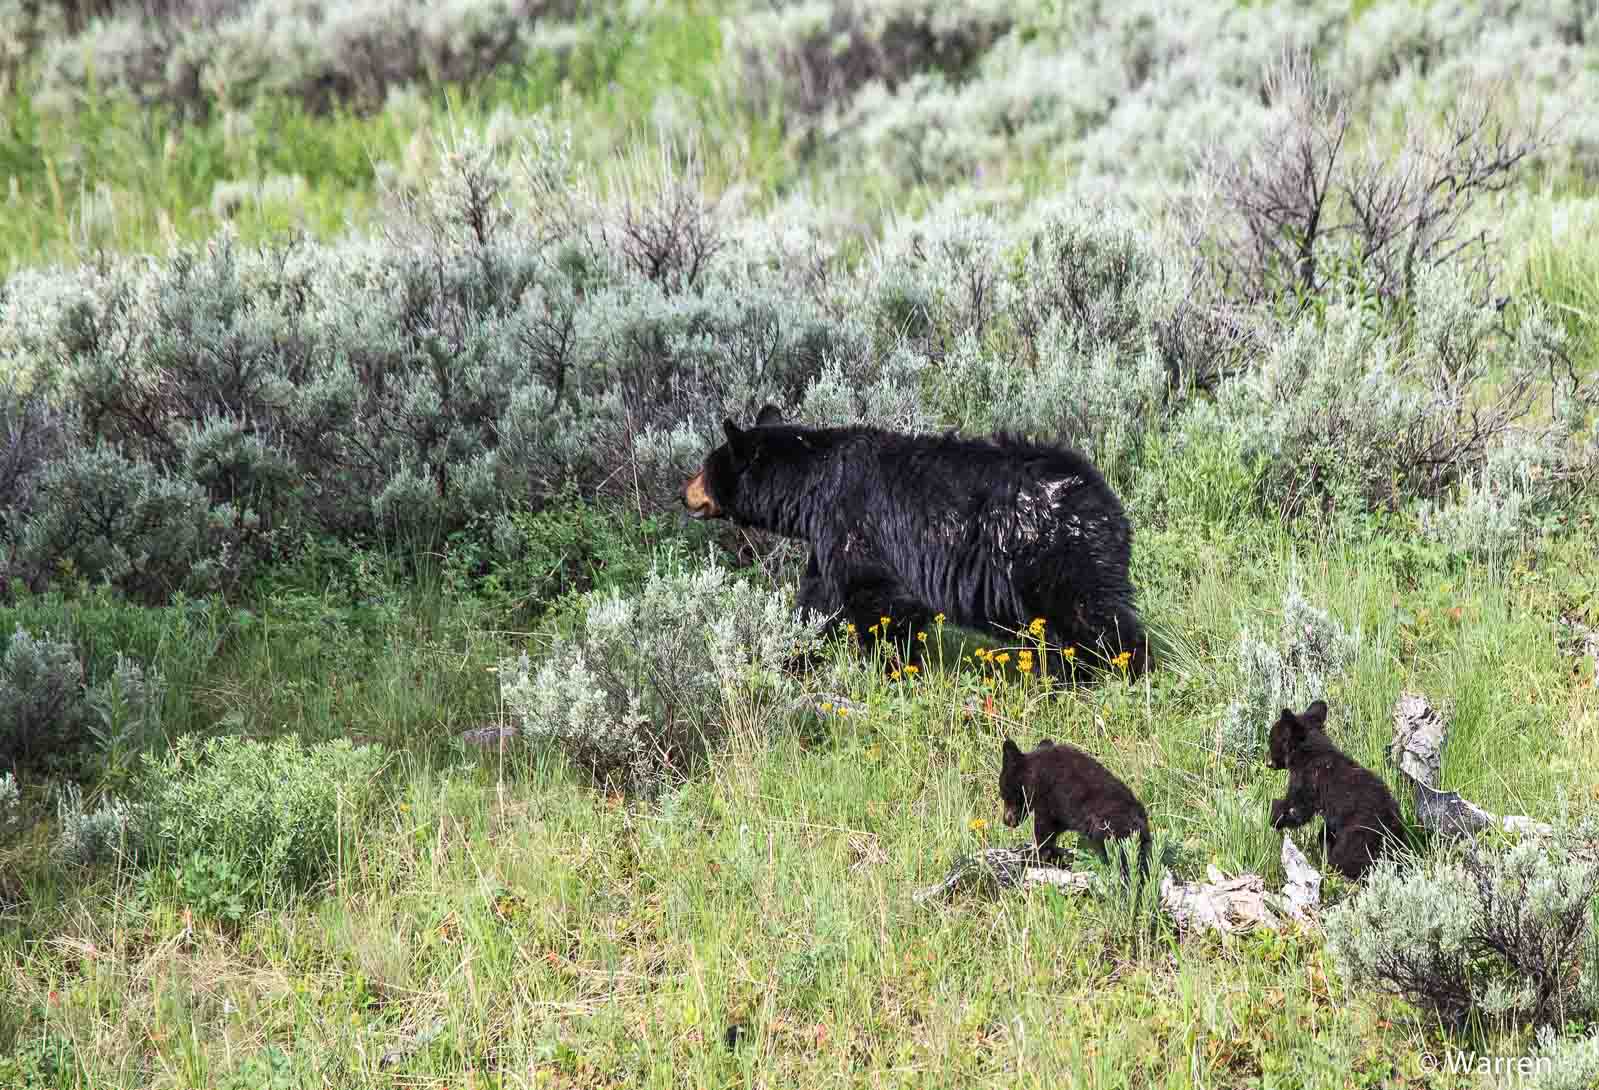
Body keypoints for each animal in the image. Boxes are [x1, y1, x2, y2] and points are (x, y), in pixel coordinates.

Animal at [680, 406, 1149, 677]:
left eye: (704, 465)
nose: (684, 493)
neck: (814, 487)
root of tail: (1102, 497)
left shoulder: (857, 525)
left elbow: (882, 603)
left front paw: (894, 671)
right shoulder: (828, 537)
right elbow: (816, 600)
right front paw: (790, 657)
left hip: (1055, 552)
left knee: (1095, 617)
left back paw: (1121, 671)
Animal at [998, 737, 1152, 875]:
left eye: (1002, 793)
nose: (1006, 821)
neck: (1033, 776)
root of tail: (1141, 824)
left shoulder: (1048, 801)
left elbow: (1044, 831)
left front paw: (1032, 856)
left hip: (1109, 829)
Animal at [1266, 700, 1405, 881]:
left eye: (1271, 740)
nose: (1268, 763)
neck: (1311, 753)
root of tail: (1392, 825)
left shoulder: (1307, 780)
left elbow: (1298, 809)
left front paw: (1274, 815)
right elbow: (1323, 831)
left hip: (1359, 834)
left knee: (1348, 856)